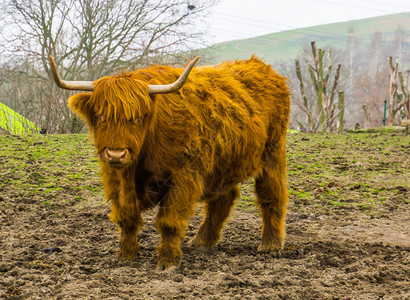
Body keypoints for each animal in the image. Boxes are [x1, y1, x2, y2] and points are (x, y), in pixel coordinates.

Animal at [48, 55, 292, 270]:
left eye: (137, 118)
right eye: (100, 116)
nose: (116, 154)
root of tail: (262, 67)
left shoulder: (183, 177)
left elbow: (169, 222)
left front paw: (168, 262)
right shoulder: (117, 180)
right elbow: (127, 219)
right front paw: (126, 256)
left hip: (273, 152)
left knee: (272, 196)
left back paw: (270, 245)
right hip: (223, 165)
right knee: (225, 198)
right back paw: (202, 242)